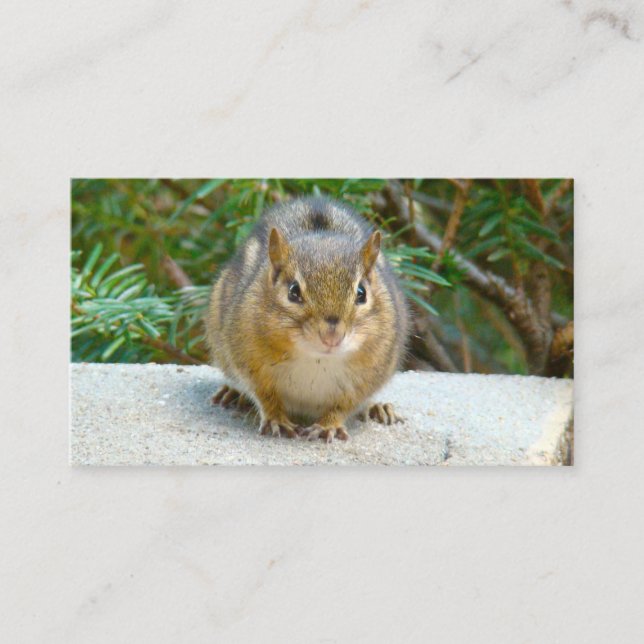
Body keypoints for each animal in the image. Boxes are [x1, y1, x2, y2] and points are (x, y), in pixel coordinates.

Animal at [205, 196, 410, 442]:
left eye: (361, 293)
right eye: (293, 291)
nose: (332, 336)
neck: (316, 359)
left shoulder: (369, 375)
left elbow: (344, 405)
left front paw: (328, 425)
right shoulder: (249, 361)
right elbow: (265, 395)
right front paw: (276, 419)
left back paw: (378, 408)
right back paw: (233, 393)